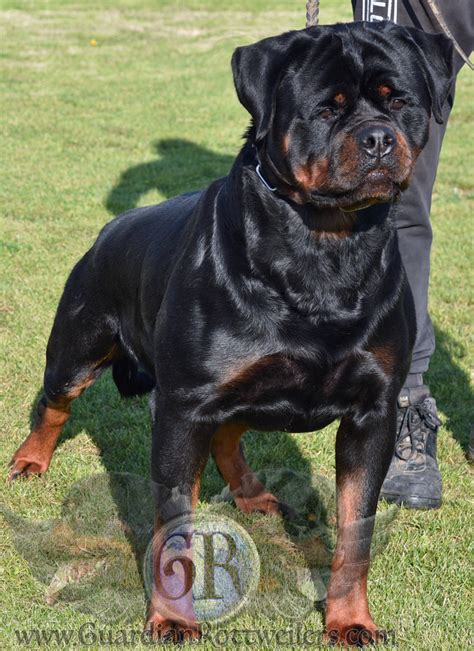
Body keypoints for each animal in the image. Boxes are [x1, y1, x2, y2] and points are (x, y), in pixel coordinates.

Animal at [9, 20, 450, 648]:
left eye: (400, 102)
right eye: (326, 109)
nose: (378, 140)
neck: (324, 247)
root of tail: (109, 228)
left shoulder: (374, 413)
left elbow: (356, 530)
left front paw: (350, 619)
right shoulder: (182, 407)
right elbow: (174, 528)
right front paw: (171, 617)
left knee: (228, 436)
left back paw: (252, 493)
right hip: (78, 341)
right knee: (56, 400)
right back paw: (29, 460)